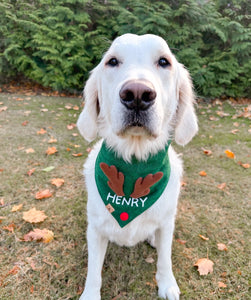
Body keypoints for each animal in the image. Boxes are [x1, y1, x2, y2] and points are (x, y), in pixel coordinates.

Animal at [76, 34, 198, 298]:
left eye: (164, 61)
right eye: (112, 61)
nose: (138, 94)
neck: (135, 160)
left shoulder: (167, 224)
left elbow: (165, 259)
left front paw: (167, 284)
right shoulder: (96, 229)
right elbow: (94, 270)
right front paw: (90, 294)